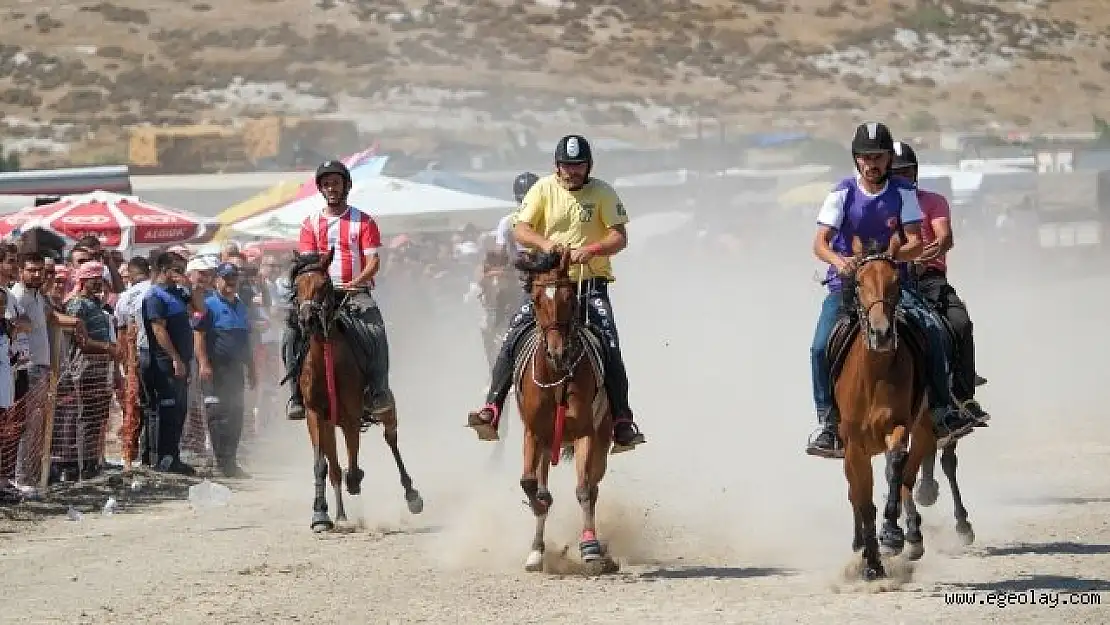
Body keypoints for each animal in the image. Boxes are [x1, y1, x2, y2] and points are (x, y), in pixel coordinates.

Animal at [288, 249, 421, 532]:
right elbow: (324, 465)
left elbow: (352, 463)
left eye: (324, 285)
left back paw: (412, 495)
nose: (306, 320)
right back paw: (340, 513)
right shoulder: (315, 415)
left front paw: (355, 481)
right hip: (330, 424)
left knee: (391, 440)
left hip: (386, 407)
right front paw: (321, 515)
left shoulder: (350, 415)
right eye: (297, 287)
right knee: (335, 467)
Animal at [510, 247, 617, 572]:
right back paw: (537, 550)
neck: (557, 377)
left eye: (570, 297)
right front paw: (537, 543)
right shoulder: (533, 434)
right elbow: (530, 485)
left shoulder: (585, 434)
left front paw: (591, 549)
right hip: (546, 444)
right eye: (536, 300)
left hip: (602, 439)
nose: (558, 353)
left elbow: (583, 490)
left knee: (593, 488)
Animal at [834, 236, 941, 581]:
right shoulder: (854, 446)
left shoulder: (899, 427)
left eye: (896, 282)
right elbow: (863, 502)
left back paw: (911, 537)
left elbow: (895, 468)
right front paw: (872, 565)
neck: (874, 374)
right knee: (855, 495)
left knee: (907, 476)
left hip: (923, 430)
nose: (880, 333)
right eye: (858, 282)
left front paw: (892, 536)